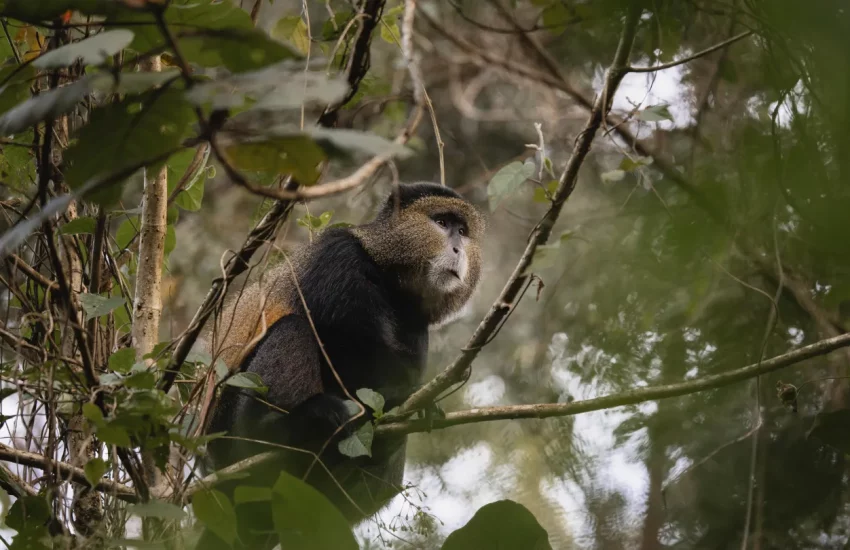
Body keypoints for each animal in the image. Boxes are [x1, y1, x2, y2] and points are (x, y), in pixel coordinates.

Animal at [201, 182, 484, 544]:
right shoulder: (338, 254)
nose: (458, 248)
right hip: (229, 436)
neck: (387, 273)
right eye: (442, 222)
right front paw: (410, 395)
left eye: (463, 231)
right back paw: (282, 426)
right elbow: (346, 342)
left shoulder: (417, 322)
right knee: (294, 327)